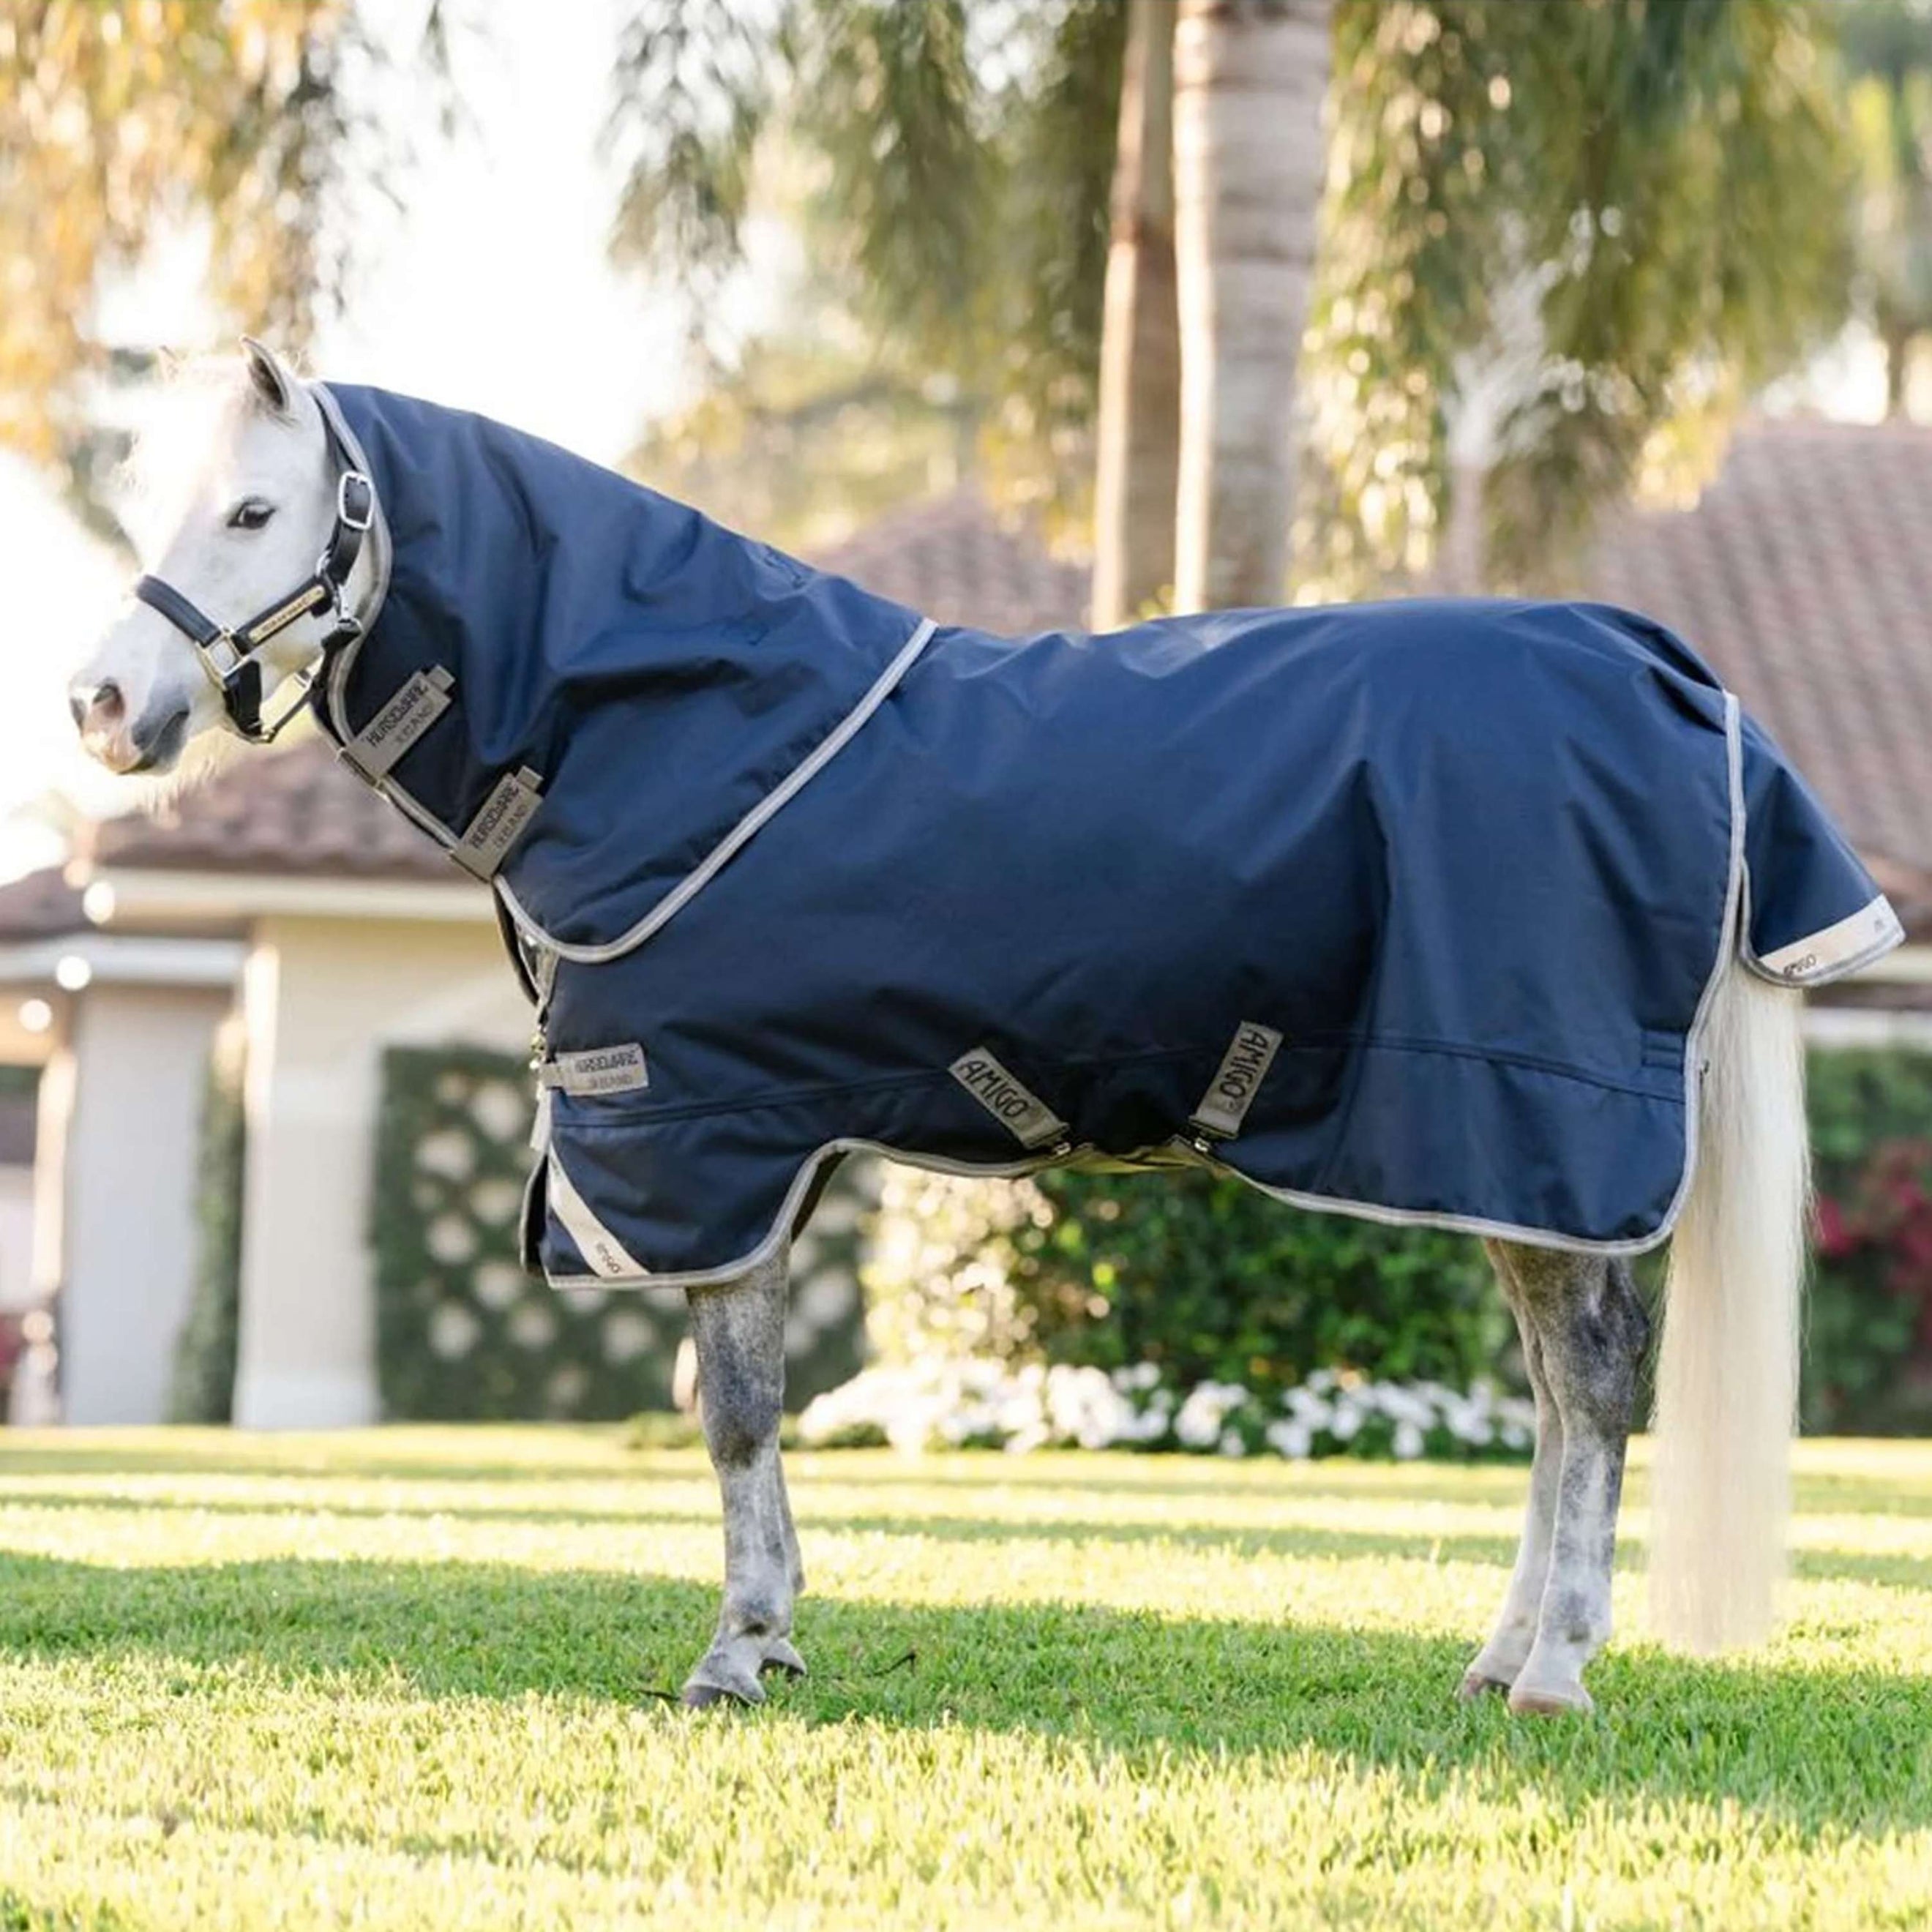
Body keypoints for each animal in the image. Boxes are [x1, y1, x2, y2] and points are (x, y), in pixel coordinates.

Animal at [70, 341, 1897, 1715]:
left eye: (255, 508)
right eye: (157, 502)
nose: (101, 708)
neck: (669, 734)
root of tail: (1681, 683)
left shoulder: (708, 1146)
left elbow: (731, 1411)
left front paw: (737, 1652)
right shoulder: (752, 1153)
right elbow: (742, 1407)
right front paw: (772, 1635)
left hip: (1536, 1127)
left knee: (1592, 1392)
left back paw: (1556, 1671)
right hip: (1501, 1160)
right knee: (1554, 1395)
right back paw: (1502, 1656)